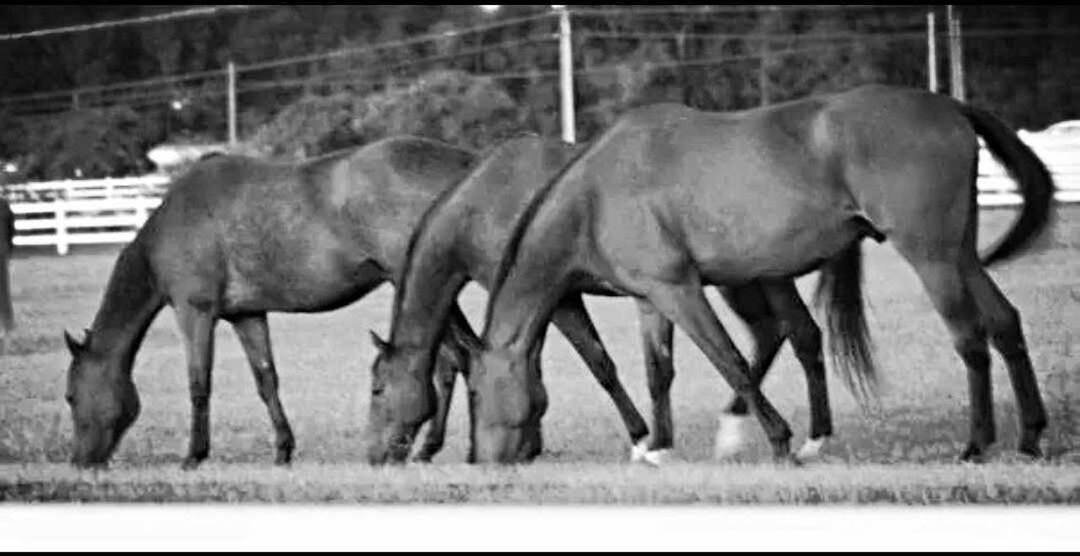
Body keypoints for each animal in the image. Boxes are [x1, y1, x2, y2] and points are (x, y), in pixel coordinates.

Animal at [58, 136, 486, 470]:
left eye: (70, 397)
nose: (80, 462)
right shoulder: (246, 315)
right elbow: (266, 380)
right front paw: (283, 450)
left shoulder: (194, 311)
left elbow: (199, 383)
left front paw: (194, 455)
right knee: (454, 360)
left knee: (456, 359)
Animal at [460, 83, 1049, 466]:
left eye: (477, 395)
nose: (484, 460)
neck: (596, 193)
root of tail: (949, 104)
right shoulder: (651, 298)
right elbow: (658, 372)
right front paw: (659, 447)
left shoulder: (680, 291)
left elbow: (731, 361)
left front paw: (780, 441)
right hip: (961, 254)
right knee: (1006, 324)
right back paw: (1031, 437)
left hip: (932, 257)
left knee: (970, 339)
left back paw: (975, 445)